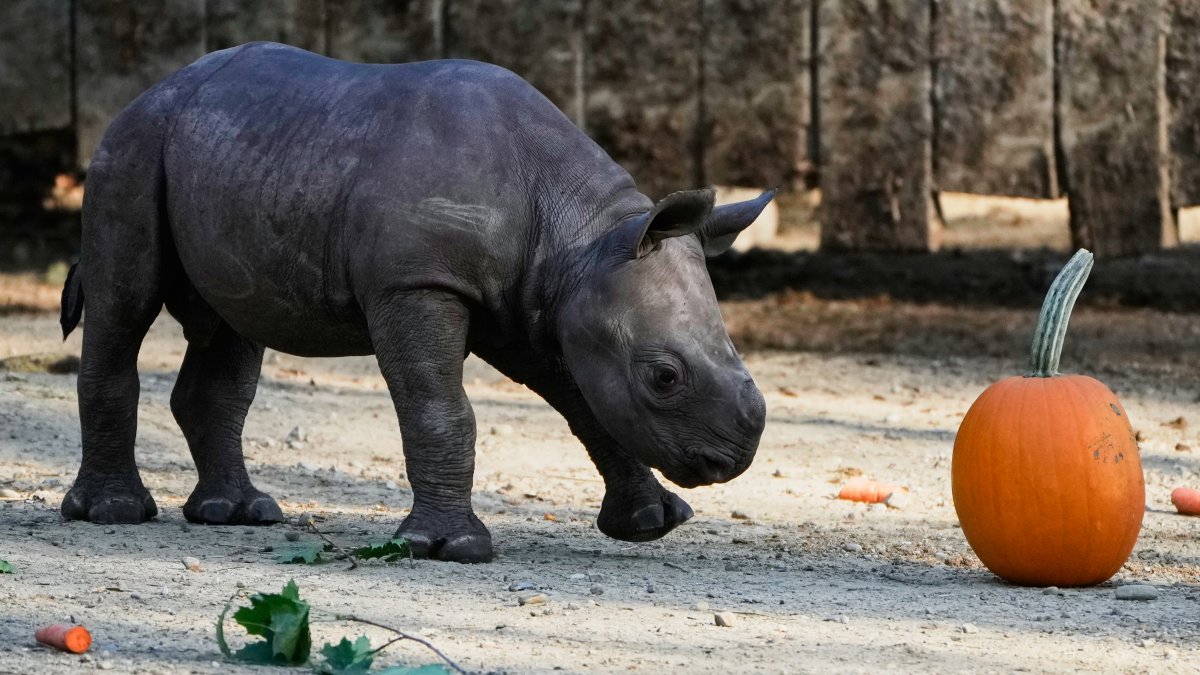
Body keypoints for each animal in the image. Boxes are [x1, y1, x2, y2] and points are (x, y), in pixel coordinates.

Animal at [60, 42, 770, 562]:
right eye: (664, 377)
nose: (735, 456)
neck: (582, 238)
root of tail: (152, 90)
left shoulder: (541, 306)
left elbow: (588, 406)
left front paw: (651, 523)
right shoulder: (416, 283)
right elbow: (440, 409)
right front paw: (449, 548)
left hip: (232, 156)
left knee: (232, 331)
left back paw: (236, 515)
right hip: (133, 148)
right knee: (126, 301)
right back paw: (114, 513)